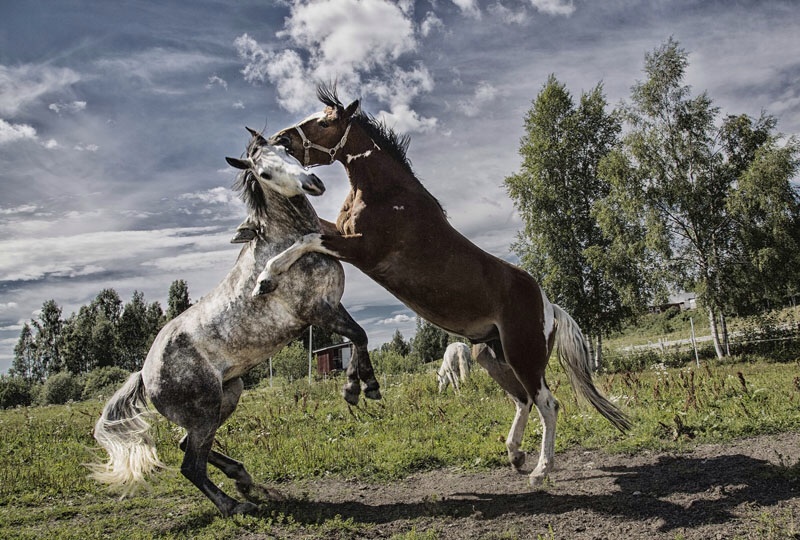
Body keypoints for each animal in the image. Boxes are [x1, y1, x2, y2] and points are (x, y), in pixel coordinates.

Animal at [89, 130, 379, 517]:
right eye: (265, 173)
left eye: (287, 151)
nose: (313, 183)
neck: (281, 243)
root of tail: (145, 373)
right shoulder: (317, 311)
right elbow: (358, 334)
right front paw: (357, 389)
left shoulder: (333, 305)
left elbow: (357, 339)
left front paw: (364, 385)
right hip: (206, 410)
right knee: (190, 465)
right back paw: (234, 505)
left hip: (228, 396)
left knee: (186, 446)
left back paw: (243, 478)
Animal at [260, 85, 631, 486]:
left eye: (326, 123)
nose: (280, 139)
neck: (387, 196)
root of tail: (550, 307)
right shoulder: (342, 233)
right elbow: (306, 235)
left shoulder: (361, 249)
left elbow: (306, 239)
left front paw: (265, 279)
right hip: (492, 355)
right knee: (523, 399)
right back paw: (515, 454)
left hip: (524, 356)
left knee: (547, 403)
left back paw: (540, 470)